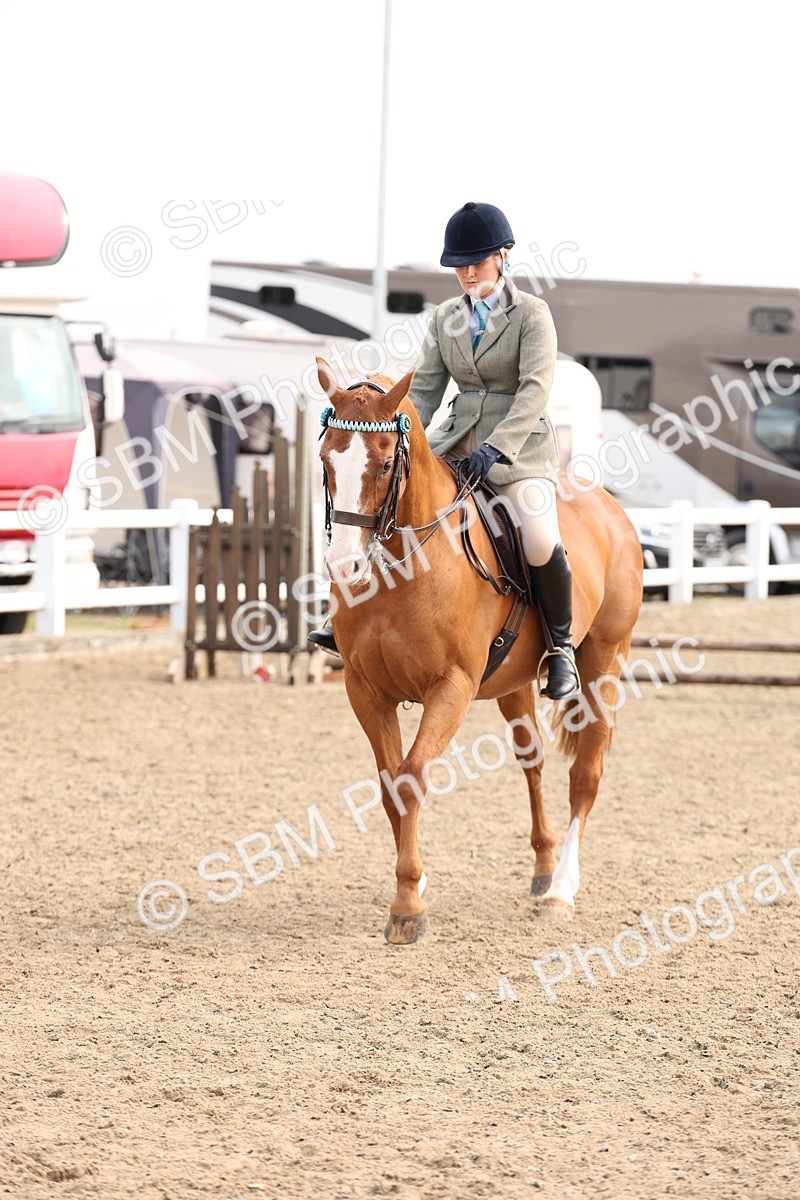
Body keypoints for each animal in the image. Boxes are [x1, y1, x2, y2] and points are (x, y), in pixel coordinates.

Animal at [316, 357, 643, 945]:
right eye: (328, 460)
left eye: (383, 465)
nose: (344, 569)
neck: (405, 564)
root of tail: (608, 505)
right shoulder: (364, 690)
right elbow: (390, 785)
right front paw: (413, 884)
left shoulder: (451, 687)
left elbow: (411, 777)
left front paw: (407, 906)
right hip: (514, 681)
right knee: (533, 761)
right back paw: (543, 869)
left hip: (605, 662)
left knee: (586, 773)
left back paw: (561, 891)